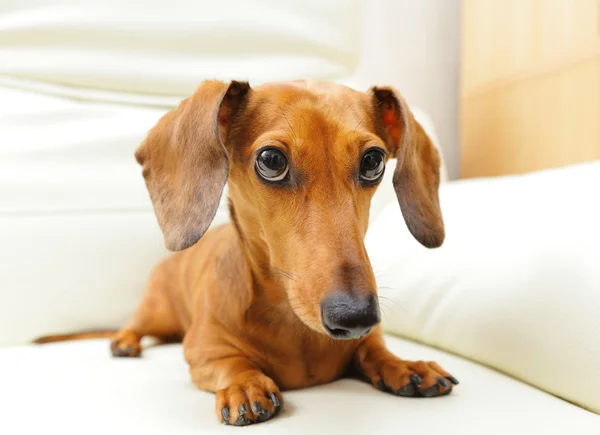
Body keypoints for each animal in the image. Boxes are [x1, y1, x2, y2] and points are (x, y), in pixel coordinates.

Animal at [110, 81, 458, 426]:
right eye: (272, 161)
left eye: (373, 161)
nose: (356, 317)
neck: (293, 323)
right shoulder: (202, 349)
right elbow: (232, 361)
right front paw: (245, 384)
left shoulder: (366, 340)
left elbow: (375, 350)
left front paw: (405, 365)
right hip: (156, 311)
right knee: (136, 326)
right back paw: (124, 343)